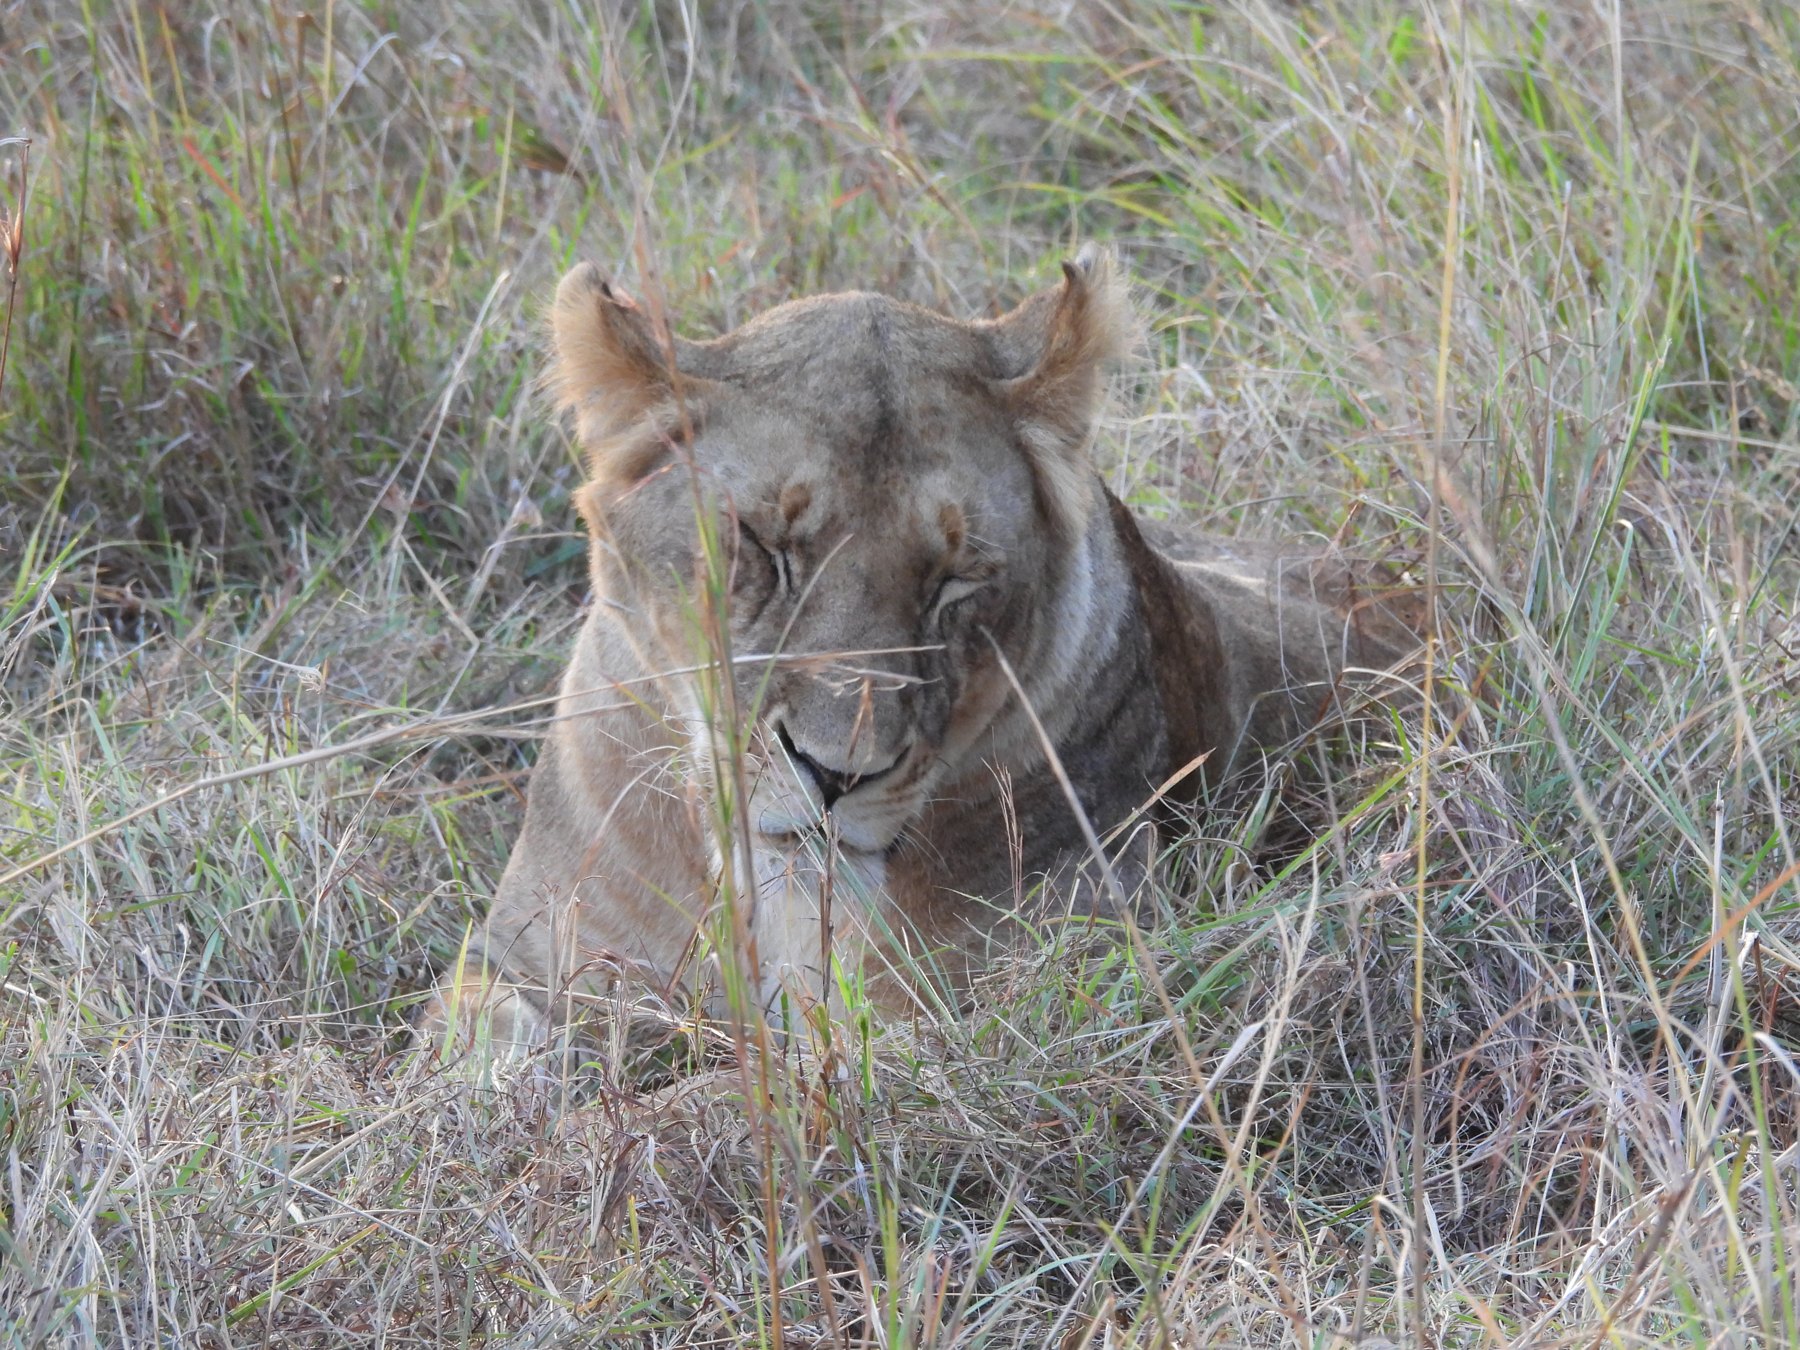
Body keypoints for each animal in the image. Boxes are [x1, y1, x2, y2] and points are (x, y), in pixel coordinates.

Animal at [423, 247, 1413, 1054]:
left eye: (955, 580)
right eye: (766, 547)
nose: (835, 774)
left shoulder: (1030, 999)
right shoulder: (525, 957)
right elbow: (486, 1056)